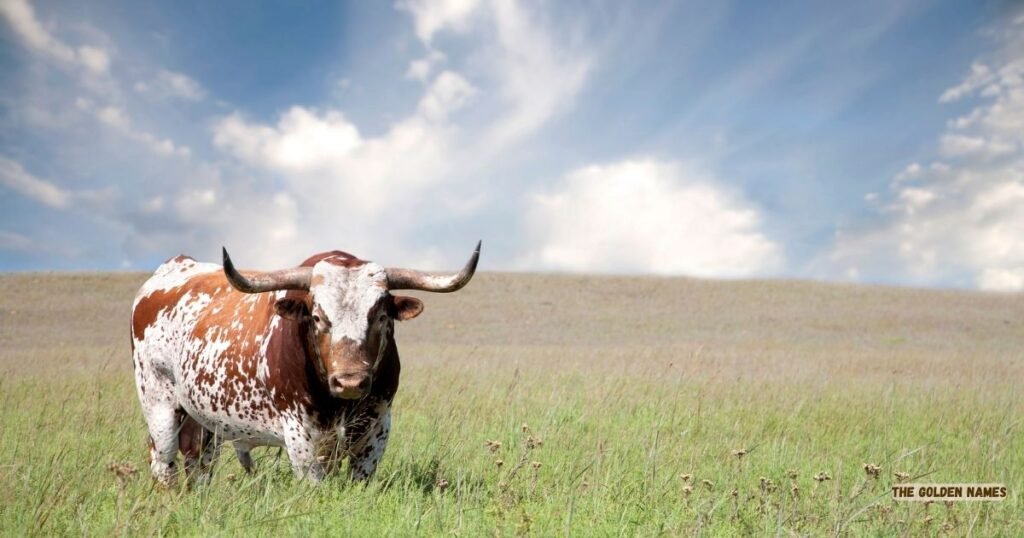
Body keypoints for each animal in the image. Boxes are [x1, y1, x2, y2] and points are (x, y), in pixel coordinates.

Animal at [130, 242, 480, 486]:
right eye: (317, 317)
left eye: (381, 316)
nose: (350, 381)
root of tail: (174, 266)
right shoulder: (300, 437)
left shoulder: (377, 430)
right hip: (158, 405)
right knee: (163, 463)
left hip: (204, 422)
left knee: (199, 463)